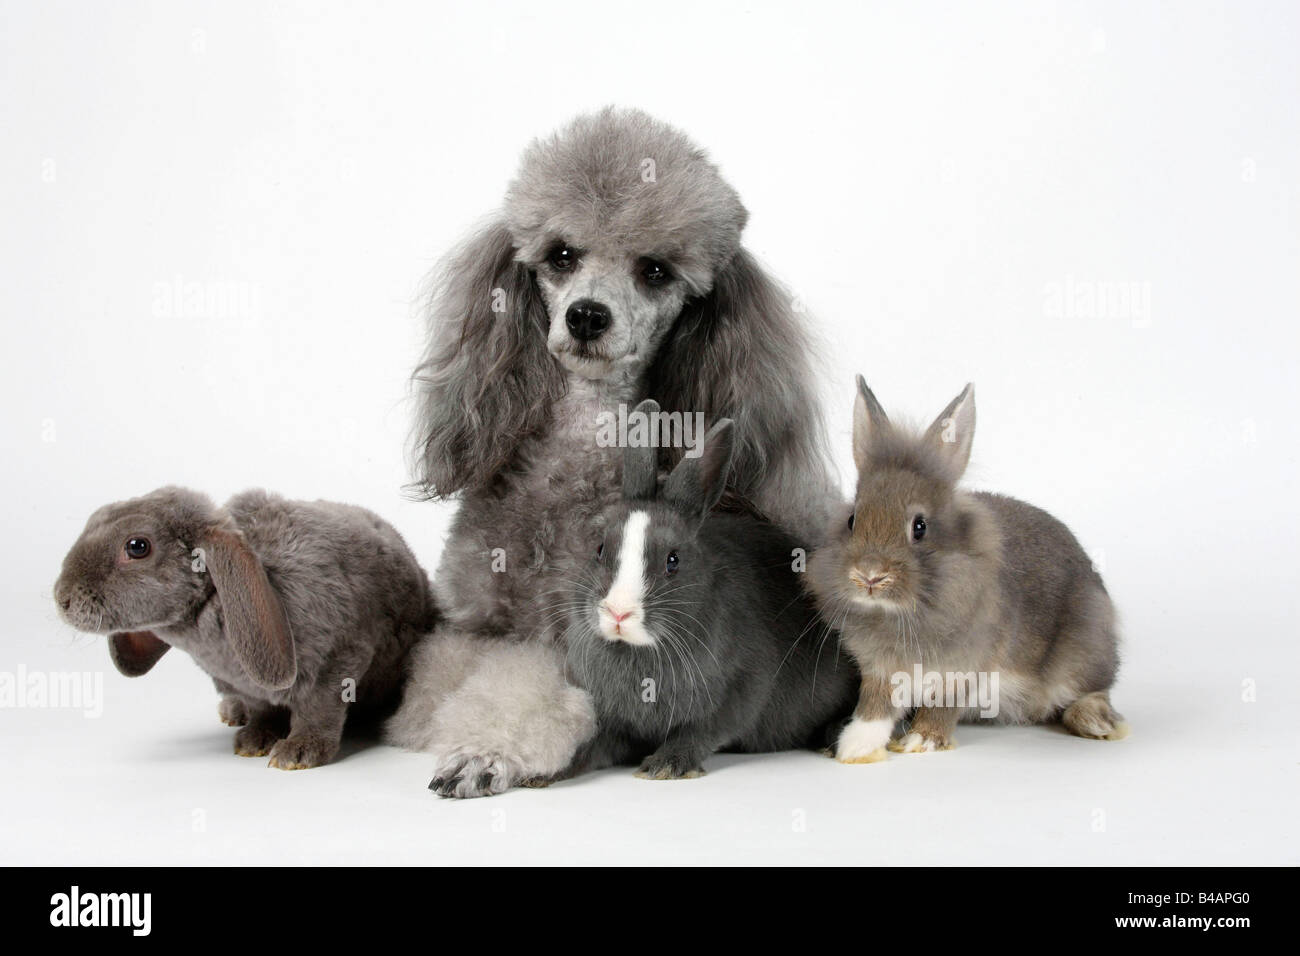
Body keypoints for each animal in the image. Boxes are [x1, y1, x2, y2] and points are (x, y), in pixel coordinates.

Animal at [54, 486, 438, 769]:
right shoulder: (246, 685)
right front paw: (255, 740)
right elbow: (261, 709)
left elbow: (318, 710)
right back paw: (232, 713)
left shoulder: (339, 660)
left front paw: (298, 752)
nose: (62, 598)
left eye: (137, 546)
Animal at [561, 400, 857, 781]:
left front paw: (664, 766)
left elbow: (701, 731)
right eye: (599, 549)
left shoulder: (741, 690)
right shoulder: (615, 722)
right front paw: (546, 773)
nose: (618, 612)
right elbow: (594, 745)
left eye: (673, 560)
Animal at [806, 376, 1127, 764]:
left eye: (920, 527)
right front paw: (854, 748)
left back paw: (1095, 722)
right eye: (853, 519)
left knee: (1094, 688)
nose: (868, 576)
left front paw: (922, 741)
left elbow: (943, 706)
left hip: (1084, 648)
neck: (900, 614)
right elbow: (875, 707)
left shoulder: (964, 668)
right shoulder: (881, 671)